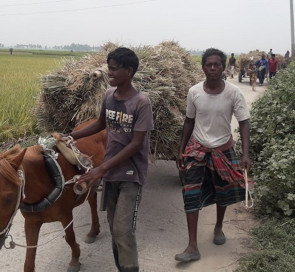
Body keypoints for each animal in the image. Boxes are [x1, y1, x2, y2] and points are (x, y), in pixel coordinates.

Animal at [0, 120, 106, 272]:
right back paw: (93, 231)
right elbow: (29, 260)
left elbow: (70, 238)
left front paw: (75, 260)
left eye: (9, 198)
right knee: (92, 199)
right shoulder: (31, 223)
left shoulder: (66, 215)